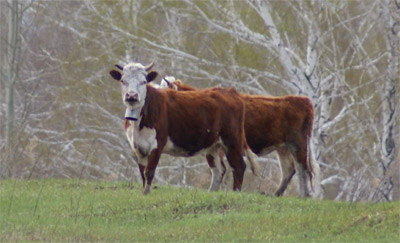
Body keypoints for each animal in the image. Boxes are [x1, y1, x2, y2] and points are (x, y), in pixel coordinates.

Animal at [109, 61, 260, 195]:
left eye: (143, 81)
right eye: (123, 81)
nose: (132, 96)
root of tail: (230, 92)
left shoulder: (157, 145)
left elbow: (149, 172)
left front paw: (146, 194)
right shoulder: (138, 147)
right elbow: (142, 173)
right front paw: (143, 192)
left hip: (232, 140)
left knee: (239, 166)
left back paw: (236, 193)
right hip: (213, 145)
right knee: (218, 170)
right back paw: (212, 193)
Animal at [161, 76, 320, 197]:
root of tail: (302, 100)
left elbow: (220, 170)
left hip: (297, 143)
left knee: (303, 169)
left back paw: (303, 196)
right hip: (283, 148)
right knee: (289, 169)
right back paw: (277, 194)